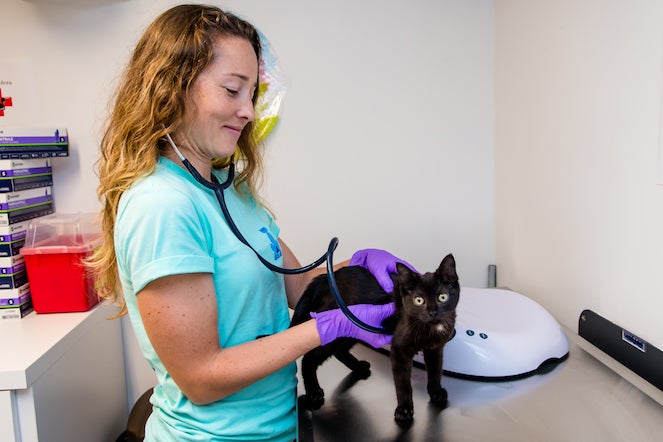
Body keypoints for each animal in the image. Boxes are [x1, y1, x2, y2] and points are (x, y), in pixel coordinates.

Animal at [294, 254, 460, 426]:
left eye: (442, 297)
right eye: (419, 300)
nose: (433, 312)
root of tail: (323, 279)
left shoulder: (435, 348)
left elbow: (435, 370)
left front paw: (436, 392)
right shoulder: (399, 349)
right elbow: (403, 382)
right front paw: (404, 409)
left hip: (351, 330)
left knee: (339, 351)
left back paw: (358, 366)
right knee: (309, 357)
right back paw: (313, 391)